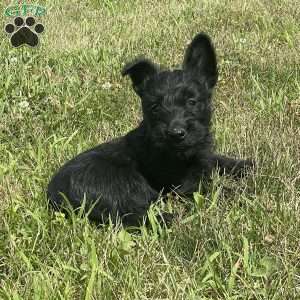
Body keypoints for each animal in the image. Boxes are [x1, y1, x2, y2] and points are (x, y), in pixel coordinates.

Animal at [47, 32, 253, 225]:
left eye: (191, 102)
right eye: (155, 107)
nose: (176, 134)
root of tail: (54, 195)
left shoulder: (202, 155)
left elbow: (216, 160)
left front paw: (244, 165)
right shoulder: (183, 186)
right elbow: (213, 188)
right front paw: (242, 193)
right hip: (123, 183)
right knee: (127, 215)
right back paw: (165, 219)